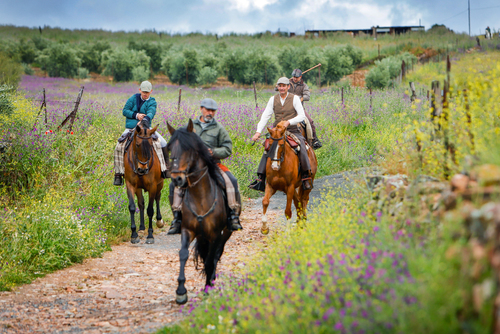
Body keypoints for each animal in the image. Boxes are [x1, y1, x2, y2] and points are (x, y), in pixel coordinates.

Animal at [166, 120, 232, 306]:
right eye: (170, 149)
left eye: (188, 149)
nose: (177, 179)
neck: (200, 196)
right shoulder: (187, 230)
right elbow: (183, 254)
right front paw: (181, 292)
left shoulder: (216, 234)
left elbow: (210, 259)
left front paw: (208, 287)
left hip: (226, 233)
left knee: (216, 254)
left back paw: (212, 279)